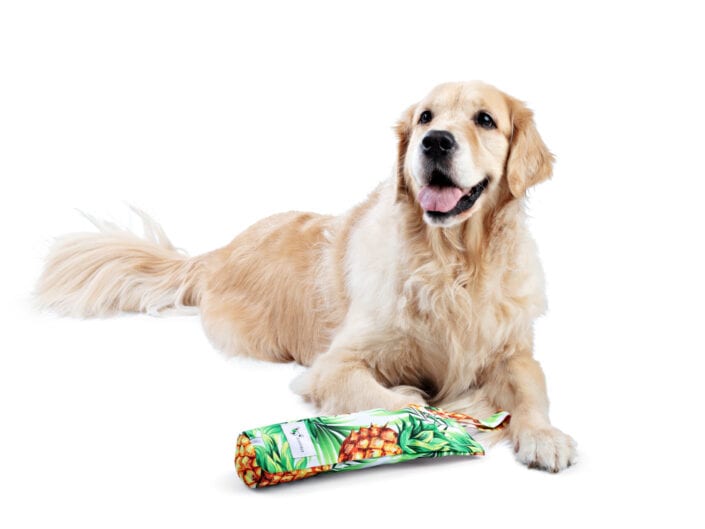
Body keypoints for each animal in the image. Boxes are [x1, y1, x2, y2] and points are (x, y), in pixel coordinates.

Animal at [38, 81, 576, 470]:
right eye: (426, 117)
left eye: (485, 120)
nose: (435, 142)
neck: (453, 264)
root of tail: (218, 251)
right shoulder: (334, 364)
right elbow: (396, 401)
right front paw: (434, 414)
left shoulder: (515, 351)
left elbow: (531, 389)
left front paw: (543, 437)